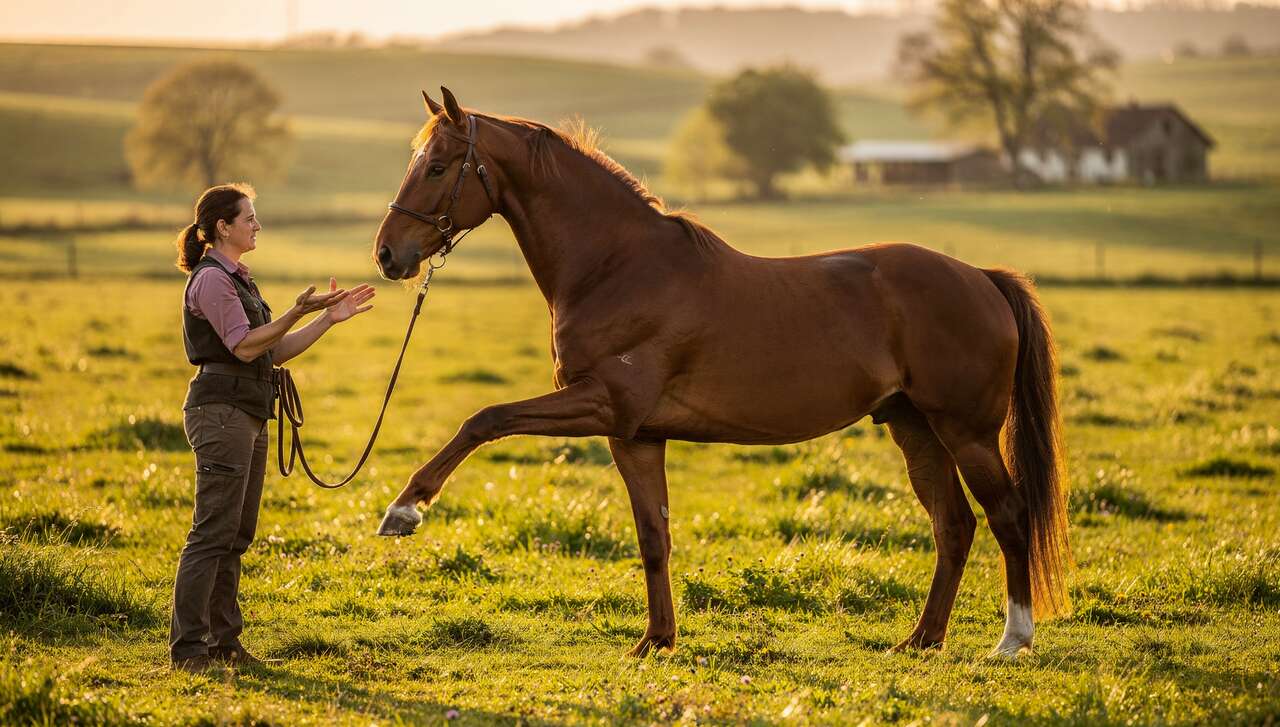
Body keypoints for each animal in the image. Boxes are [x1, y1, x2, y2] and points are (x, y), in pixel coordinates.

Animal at [371, 87, 1070, 658]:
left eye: (437, 166)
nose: (388, 255)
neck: (618, 266)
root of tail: (981, 277)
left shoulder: (603, 404)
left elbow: (484, 418)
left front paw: (406, 509)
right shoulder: (635, 435)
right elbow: (653, 536)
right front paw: (656, 640)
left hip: (966, 433)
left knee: (1008, 516)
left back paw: (1012, 640)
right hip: (915, 429)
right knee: (954, 525)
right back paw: (921, 640)